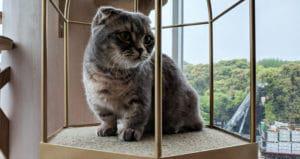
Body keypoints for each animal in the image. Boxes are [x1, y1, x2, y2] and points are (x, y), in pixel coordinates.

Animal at [82, 6, 204, 141]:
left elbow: (135, 116)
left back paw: (171, 128)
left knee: (194, 125)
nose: (141, 49)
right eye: (125, 35)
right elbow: (107, 118)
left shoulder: (140, 97)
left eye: (147, 39)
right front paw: (107, 128)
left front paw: (130, 130)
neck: (112, 75)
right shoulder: (97, 101)